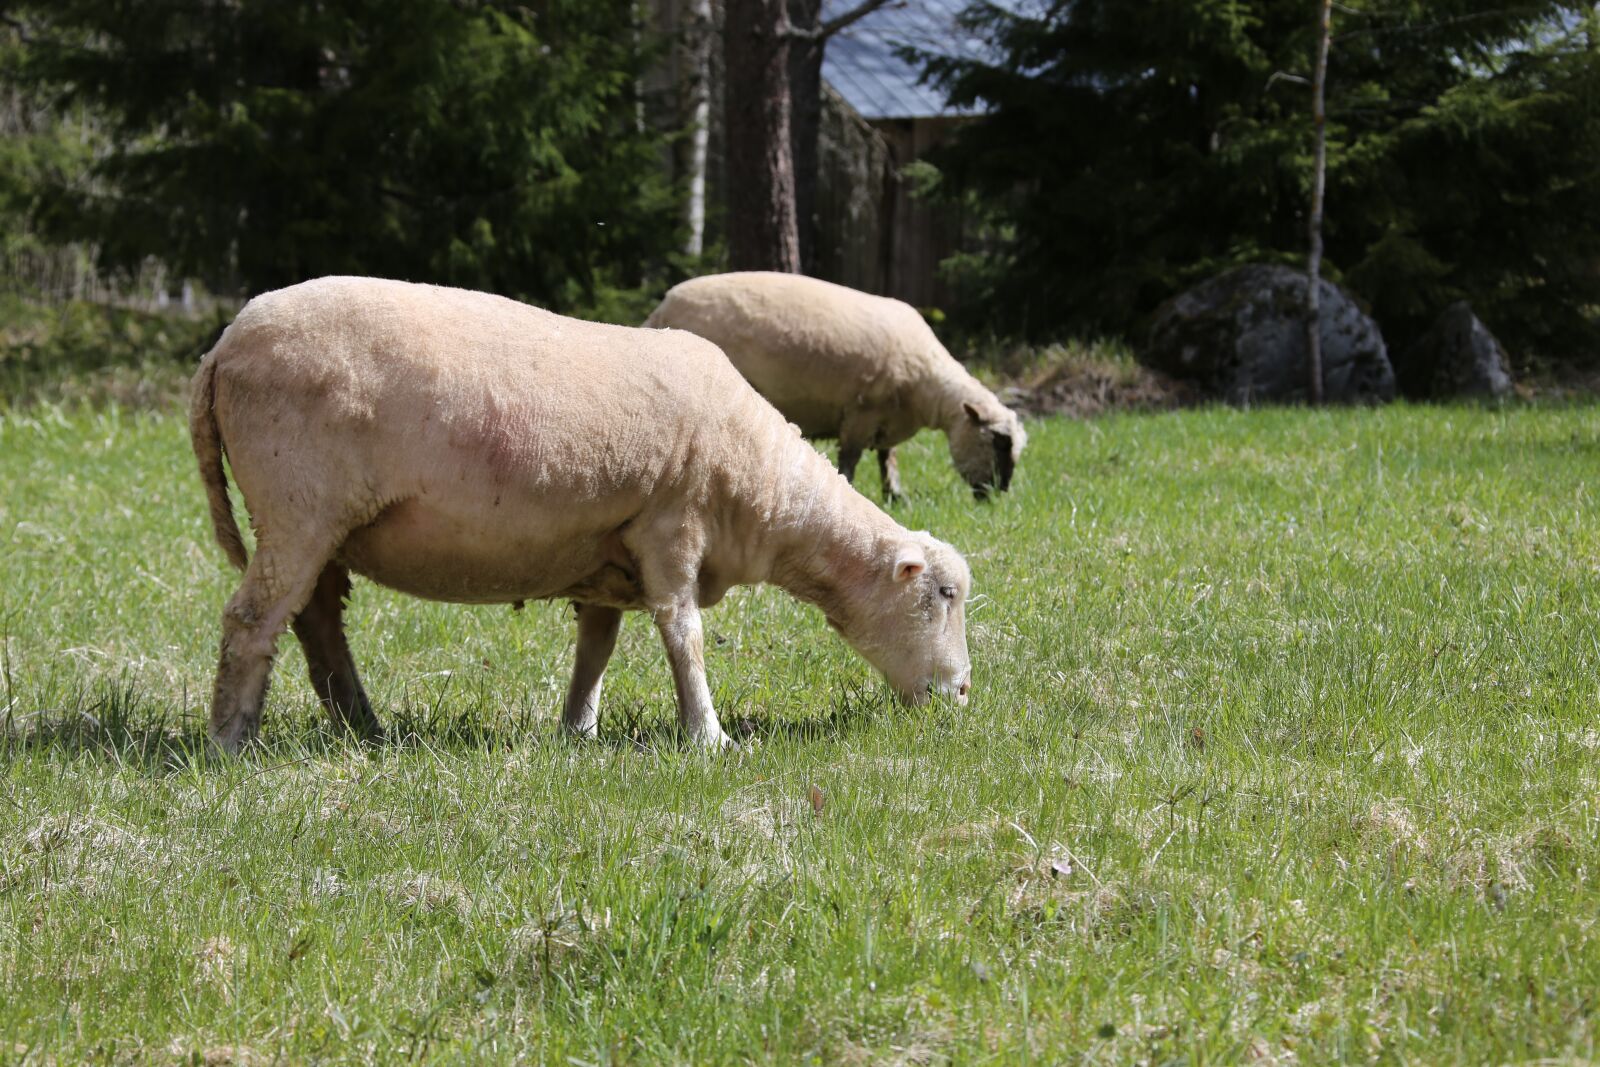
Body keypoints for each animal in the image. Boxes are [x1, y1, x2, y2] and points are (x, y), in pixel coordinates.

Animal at [188, 279, 972, 755]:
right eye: (943, 594)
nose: (962, 694)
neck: (767, 494)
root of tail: (223, 344)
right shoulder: (671, 529)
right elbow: (684, 636)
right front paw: (709, 736)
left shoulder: (610, 559)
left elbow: (596, 650)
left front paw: (578, 730)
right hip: (298, 504)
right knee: (252, 619)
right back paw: (231, 741)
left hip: (324, 523)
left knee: (316, 623)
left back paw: (364, 726)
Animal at [646, 271, 1030, 495]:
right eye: (998, 442)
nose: (1000, 493)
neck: (928, 387)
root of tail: (663, 306)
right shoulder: (861, 413)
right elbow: (850, 459)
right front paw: (852, 488)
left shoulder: (885, 422)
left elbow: (888, 460)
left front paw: (896, 496)